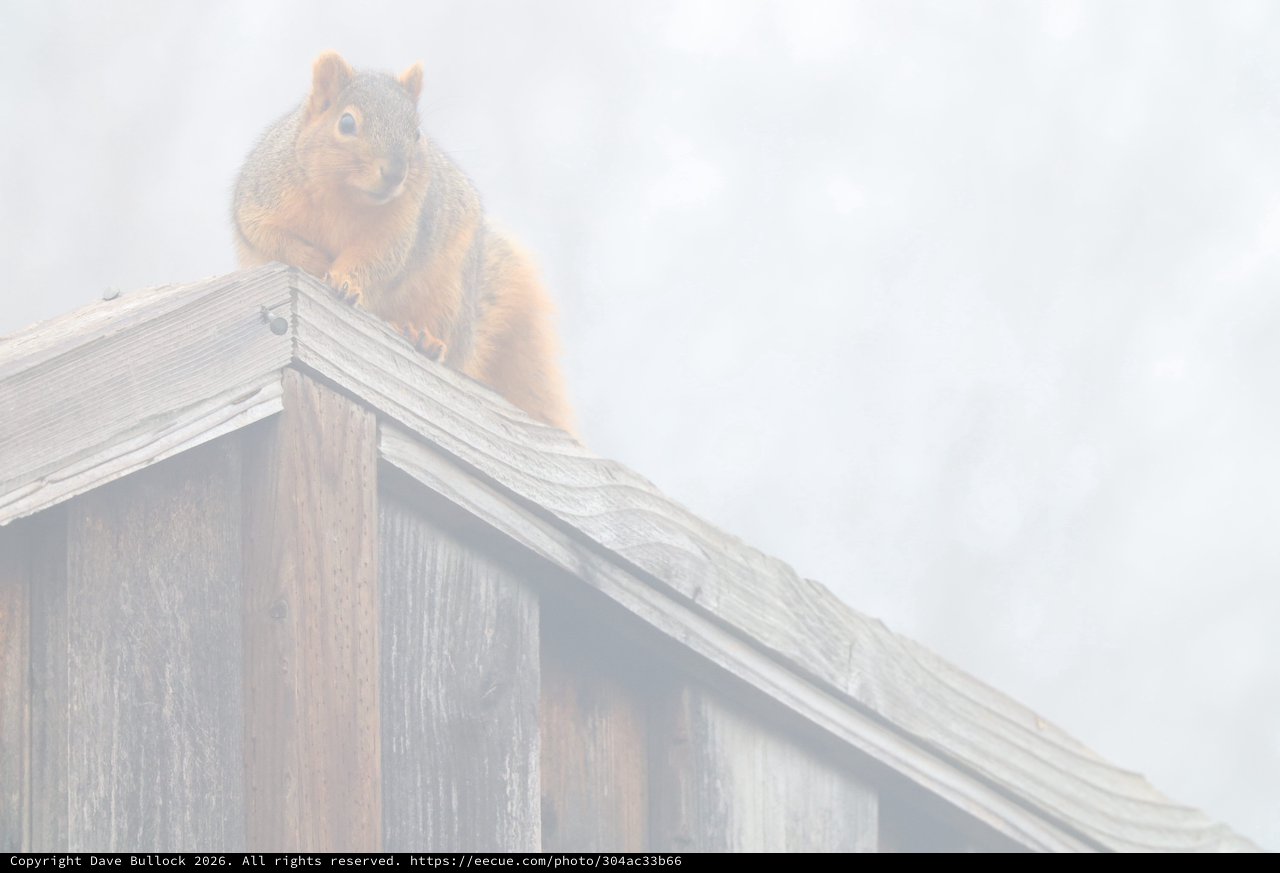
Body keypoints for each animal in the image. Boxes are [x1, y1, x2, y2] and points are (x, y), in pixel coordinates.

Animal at [233, 51, 574, 433]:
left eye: (417, 134)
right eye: (346, 123)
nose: (396, 172)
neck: (344, 197)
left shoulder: (400, 228)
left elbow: (379, 260)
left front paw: (345, 283)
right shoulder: (262, 198)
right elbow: (269, 238)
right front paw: (315, 262)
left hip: (450, 293)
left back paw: (424, 339)